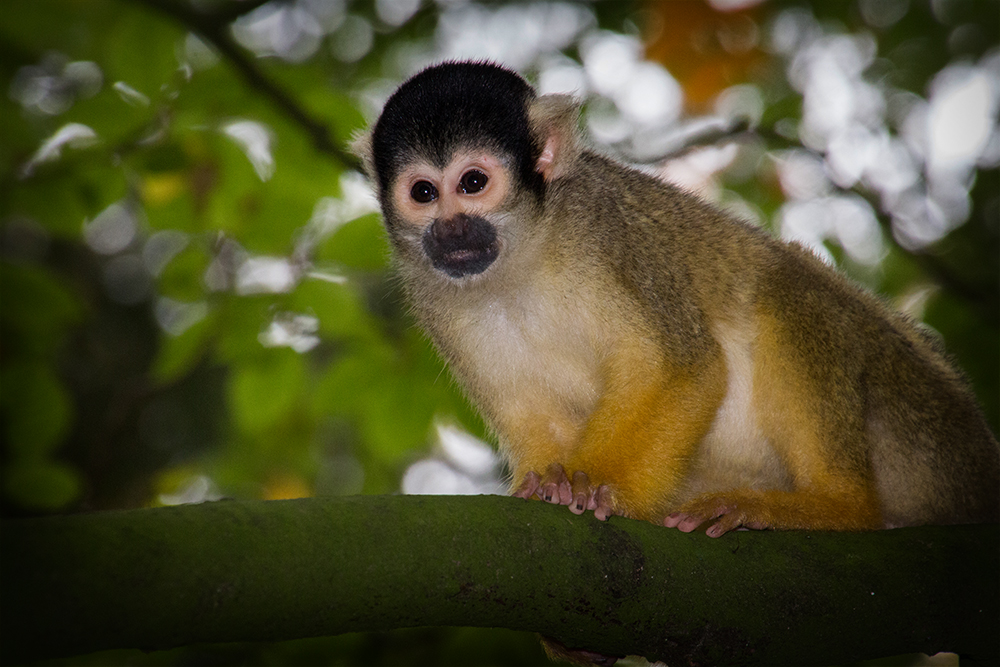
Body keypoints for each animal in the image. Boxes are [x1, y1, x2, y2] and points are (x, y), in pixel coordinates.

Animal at [354, 61, 1000, 536]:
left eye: (472, 184)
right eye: (423, 192)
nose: (451, 232)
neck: (523, 258)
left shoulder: (607, 233)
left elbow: (680, 363)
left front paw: (600, 489)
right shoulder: (435, 300)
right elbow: (533, 413)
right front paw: (548, 485)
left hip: (913, 414)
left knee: (783, 283)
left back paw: (836, 506)